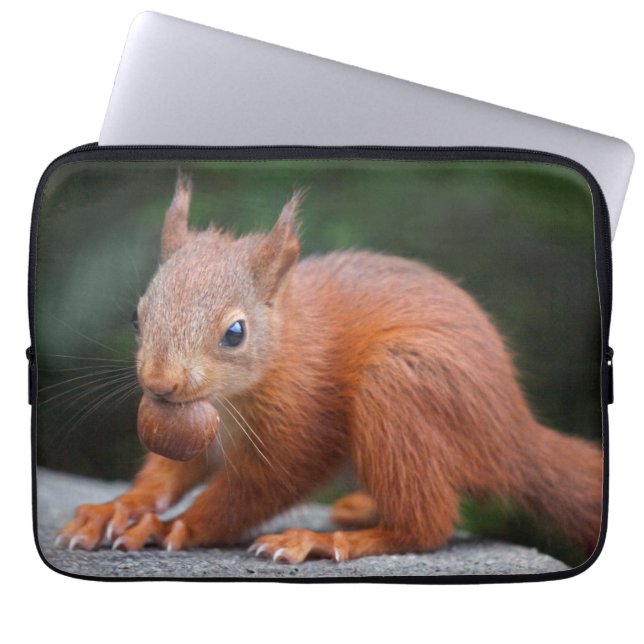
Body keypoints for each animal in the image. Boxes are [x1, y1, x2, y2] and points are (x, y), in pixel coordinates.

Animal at [56, 173, 603, 563]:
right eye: (136, 316)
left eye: (235, 333)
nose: (160, 384)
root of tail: (514, 434)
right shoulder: (197, 429)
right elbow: (169, 472)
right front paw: (117, 508)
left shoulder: (301, 421)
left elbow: (259, 487)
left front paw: (173, 526)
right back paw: (358, 509)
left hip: (401, 386)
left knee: (425, 524)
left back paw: (327, 540)